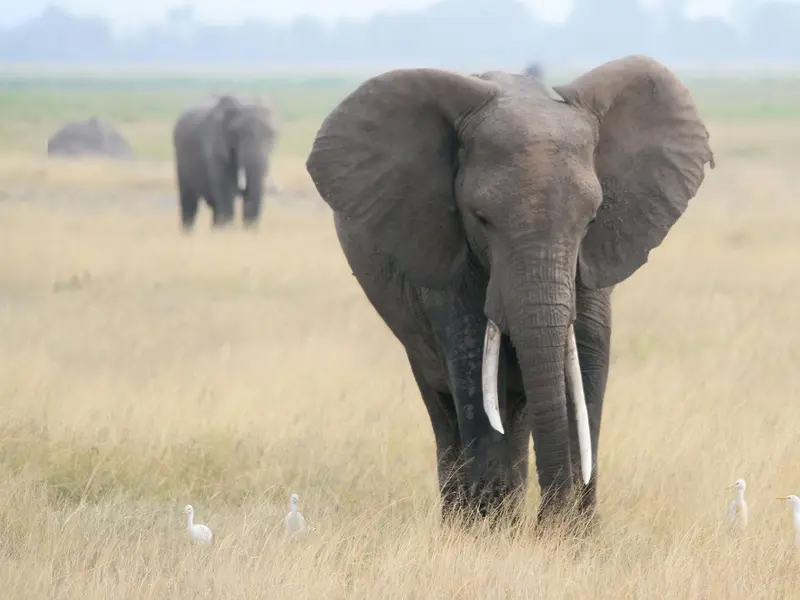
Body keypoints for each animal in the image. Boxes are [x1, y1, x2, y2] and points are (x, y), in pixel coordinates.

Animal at [172, 94, 278, 231]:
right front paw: (227, 231)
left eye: (272, 134)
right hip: (180, 159)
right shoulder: (215, 145)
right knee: (189, 202)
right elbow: (225, 190)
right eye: (236, 133)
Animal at [305, 54, 715, 527]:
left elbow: (588, 362)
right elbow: (475, 372)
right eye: (481, 218)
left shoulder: (596, 259)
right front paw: (489, 533)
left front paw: (574, 537)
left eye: (592, 218)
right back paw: (466, 519)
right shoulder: (449, 259)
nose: (548, 523)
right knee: (445, 406)